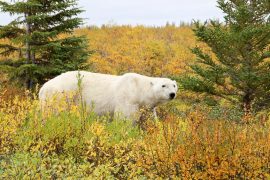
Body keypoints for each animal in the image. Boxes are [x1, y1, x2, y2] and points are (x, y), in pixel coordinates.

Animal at [38, 71, 177, 121]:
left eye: (174, 85)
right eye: (163, 85)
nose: (172, 94)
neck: (138, 89)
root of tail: (42, 88)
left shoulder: (145, 106)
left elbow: (150, 119)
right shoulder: (127, 98)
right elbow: (125, 119)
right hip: (60, 97)